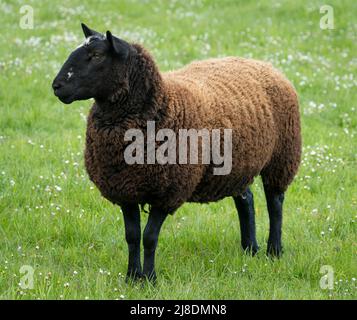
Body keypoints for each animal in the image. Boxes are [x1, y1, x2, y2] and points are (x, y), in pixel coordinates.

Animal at [52, 23, 300, 282]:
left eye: (97, 55)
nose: (56, 86)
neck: (162, 104)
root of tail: (262, 63)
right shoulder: (125, 189)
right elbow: (132, 236)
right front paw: (132, 277)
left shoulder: (168, 191)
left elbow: (150, 237)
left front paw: (150, 279)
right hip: (237, 164)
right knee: (246, 200)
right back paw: (250, 248)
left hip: (282, 156)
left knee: (275, 204)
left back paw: (274, 250)